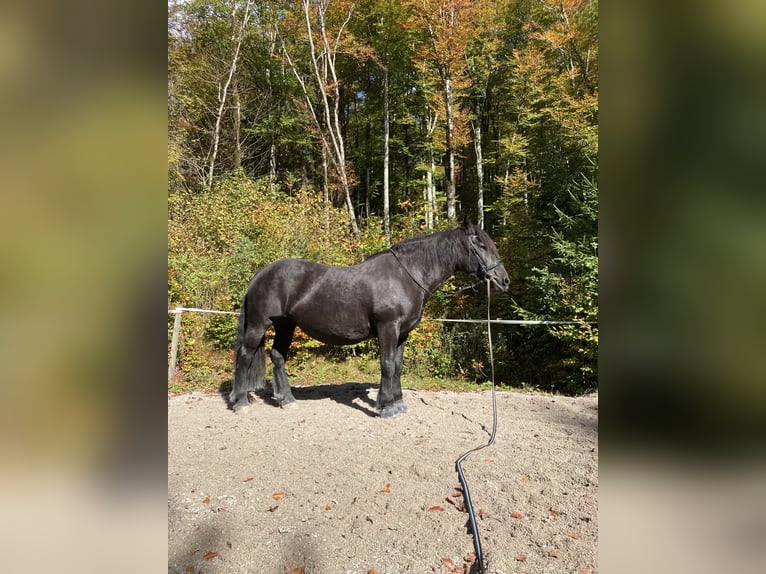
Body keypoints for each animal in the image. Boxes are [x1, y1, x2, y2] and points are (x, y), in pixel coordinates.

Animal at [231, 222, 512, 418]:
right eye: (481, 244)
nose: (503, 280)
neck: (407, 275)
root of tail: (260, 274)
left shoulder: (402, 333)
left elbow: (397, 366)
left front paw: (398, 403)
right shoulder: (388, 328)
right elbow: (386, 364)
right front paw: (385, 406)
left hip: (286, 325)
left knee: (278, 356)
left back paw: (286, 400)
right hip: (259, 324)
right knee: (245, 355)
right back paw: (241, 402)